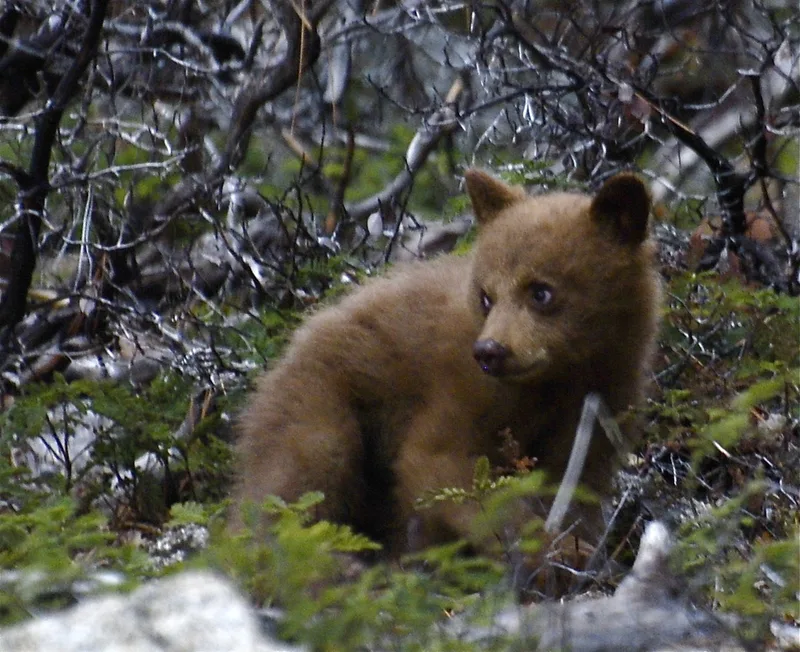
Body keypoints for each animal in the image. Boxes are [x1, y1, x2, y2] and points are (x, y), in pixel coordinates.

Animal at [231, 169, 662, 556]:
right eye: (486, 296)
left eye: (541, 292)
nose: (490, 350)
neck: (563, 376)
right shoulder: (463, 387)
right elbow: (436, 462)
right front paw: (546, 551)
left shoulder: (606, 399)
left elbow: (575, 485)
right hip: (319, 401)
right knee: (298, 481)